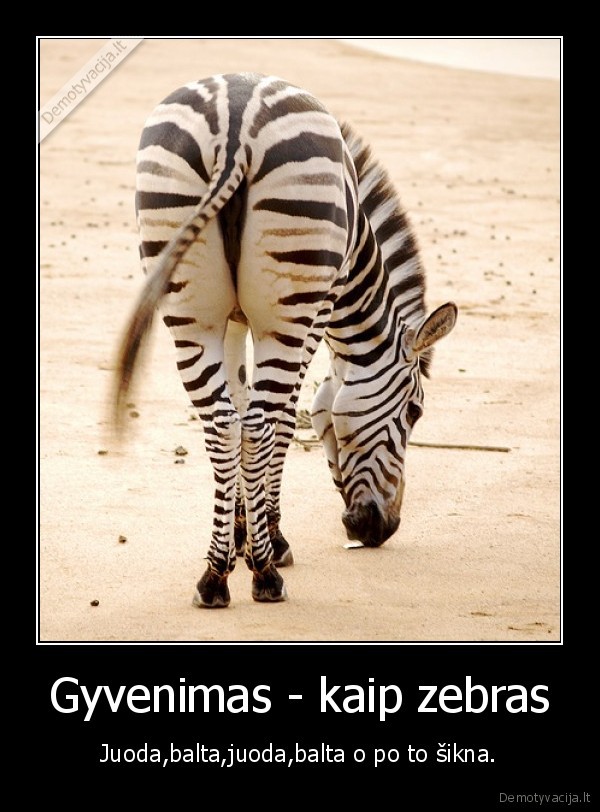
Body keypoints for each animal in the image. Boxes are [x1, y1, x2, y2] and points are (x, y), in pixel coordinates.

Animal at [113, 72, 457, 609]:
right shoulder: (320, 307)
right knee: (257, 424)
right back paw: (265, 575)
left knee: (222, 424)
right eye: (415, 412)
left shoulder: (234, 320)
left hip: (189, 307)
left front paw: (239, 535)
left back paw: (213, 577)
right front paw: (270, 540)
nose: (380, 530)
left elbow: (239, 400)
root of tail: (234, 123)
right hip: (287, 307)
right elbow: (286, 415)